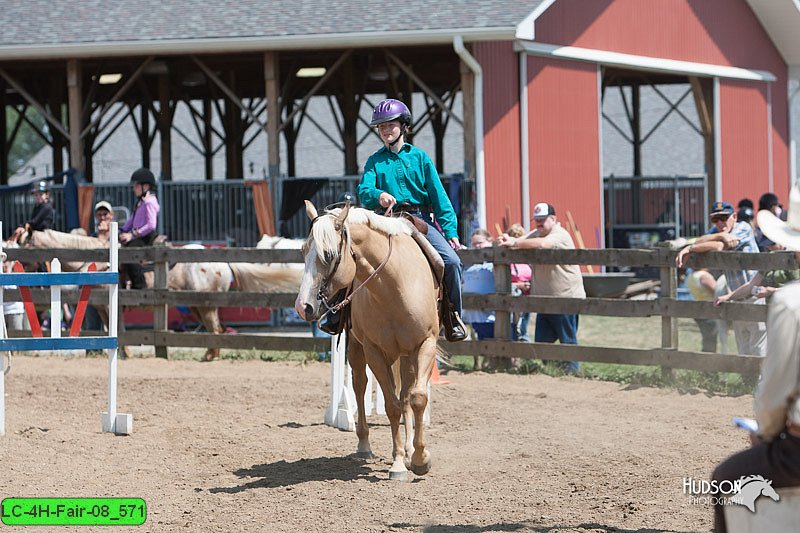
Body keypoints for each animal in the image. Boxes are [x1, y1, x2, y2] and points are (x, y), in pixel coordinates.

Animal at [296, 201, 444, 482]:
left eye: (329, 254)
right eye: (303, 251)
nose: (303, 307)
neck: (394, 287)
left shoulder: (425, 344)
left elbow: (417, 398)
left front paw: (419, 458)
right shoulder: (374, 351)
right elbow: (391, 406)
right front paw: (398, 464)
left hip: (406, 355)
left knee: (406, 394)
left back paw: (409, 450)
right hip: (357, 349)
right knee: (359, 385)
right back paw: (364, 445)